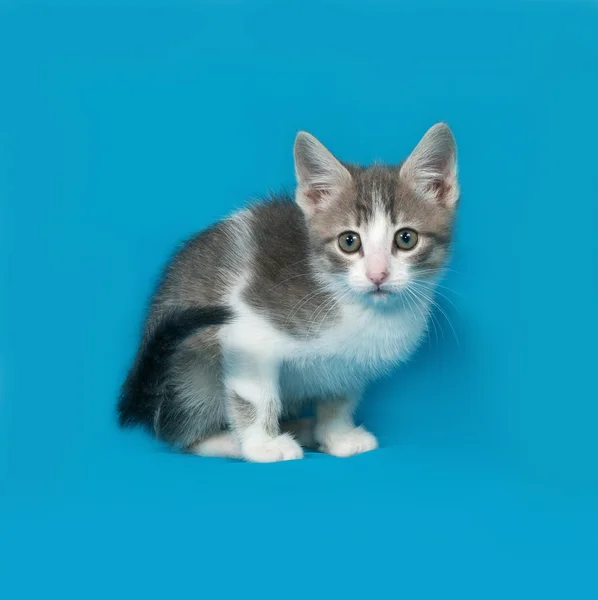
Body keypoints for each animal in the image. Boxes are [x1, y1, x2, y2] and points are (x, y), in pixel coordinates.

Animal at [119, 123, 462, 464]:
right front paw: (262, 446)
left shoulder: (349, 362)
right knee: (179, 434)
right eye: (349, 242)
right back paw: (227, 442)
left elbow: (339, 396)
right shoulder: (246, 329)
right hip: (191, 369)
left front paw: (339, 435)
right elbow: (256, 396)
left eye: (406, 238)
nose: (377, 275)